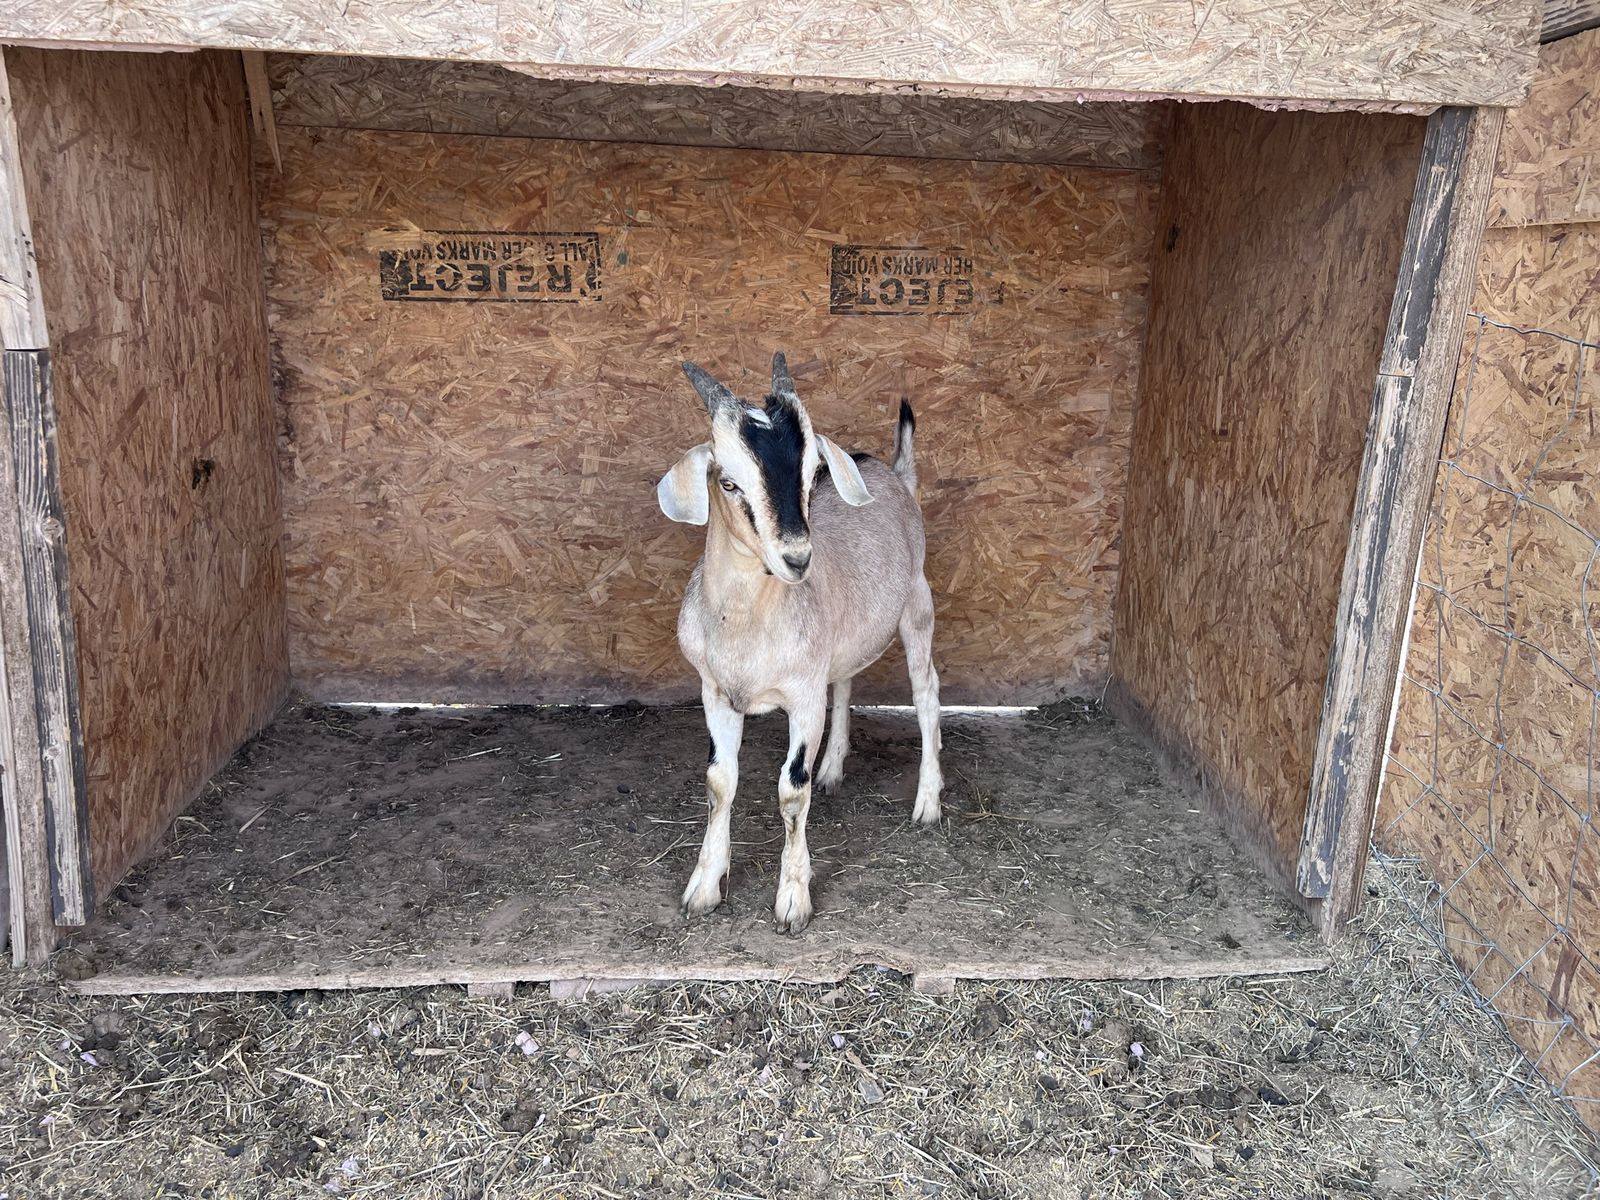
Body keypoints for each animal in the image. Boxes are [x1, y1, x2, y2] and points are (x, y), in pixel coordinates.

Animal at [655, 351, 943, 933]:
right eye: (728, 482)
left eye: (813, 476)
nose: (796, 558)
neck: (744, 626)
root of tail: (897, 476)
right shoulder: (715, 692)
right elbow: (719, 781)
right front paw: (704, 887)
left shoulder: (802, 698)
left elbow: (791, 790)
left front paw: (792, 900)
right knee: (847, 682)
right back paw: (832, 769)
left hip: (915, 605)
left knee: (926, 692)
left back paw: (928, 802)